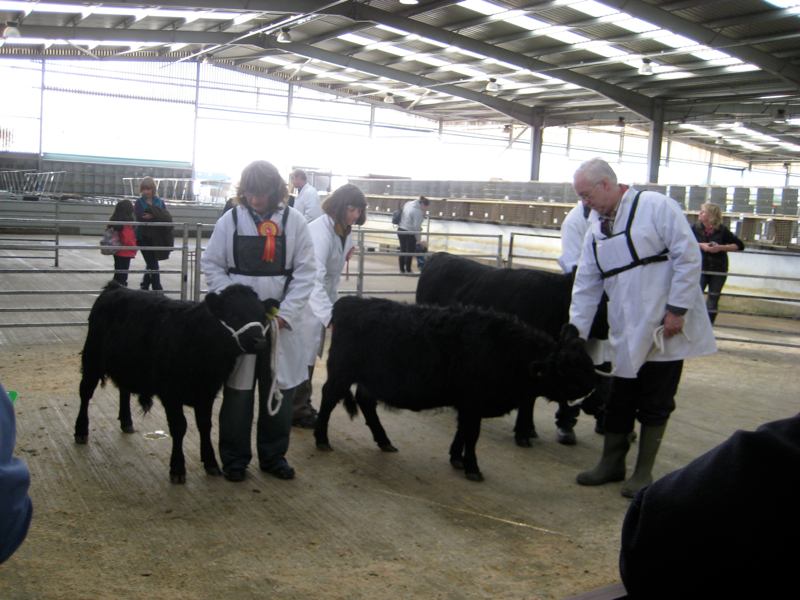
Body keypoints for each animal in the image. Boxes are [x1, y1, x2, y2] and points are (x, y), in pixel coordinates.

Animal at [75, 284, 280, 486]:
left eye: (262, 317)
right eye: (234, 315)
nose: (260, 342)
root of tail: (114, 287)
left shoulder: (207, 392)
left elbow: (205, 425)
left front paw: (211, 462)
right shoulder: (170, 393)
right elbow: (179, 427)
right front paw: (177, 468)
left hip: (126, 364)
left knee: (123, 390)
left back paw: (126, 422)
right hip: (92, 357)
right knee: (85, 392)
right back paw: (81, 431)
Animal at [312, 298, 592, 482]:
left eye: (587, 361)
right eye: (565, 369)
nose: (591, 386)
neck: (505, 350)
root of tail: (351, 301)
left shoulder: (468, 403)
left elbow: (462, 432)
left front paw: (457, 458)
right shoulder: (473, 402)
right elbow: (472, 434)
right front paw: (472, 467)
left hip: (370, 378)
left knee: (365, 401)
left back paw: (384, 441)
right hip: (342, 371)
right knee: (328, 397)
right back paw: (322, 439)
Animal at [416, 252, 608, 446]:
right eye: (604, 300)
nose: (600, 405)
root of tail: (439, 255)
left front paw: (529, 429)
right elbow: (527, 399)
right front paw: (522, 433)